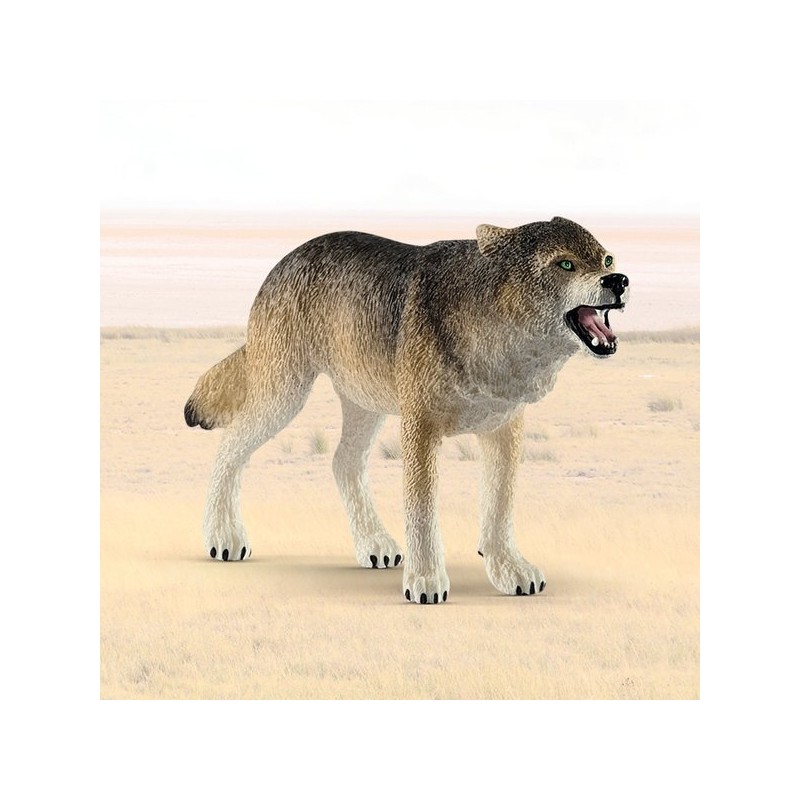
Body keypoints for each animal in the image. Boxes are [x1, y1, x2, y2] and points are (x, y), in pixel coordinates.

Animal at [184, 216, 629, 604]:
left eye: (606, 259)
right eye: (565, 264)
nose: (619, 281)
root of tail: (286, 259)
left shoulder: (504, 428)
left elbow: (500, 507)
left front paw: (507, 568)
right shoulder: (421, 426)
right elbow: (423, 512)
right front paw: (426, 581)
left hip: (365, 405)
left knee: (343, 462)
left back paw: (374, 544)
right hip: (283, 395)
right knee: (229, 449)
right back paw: (223, 538)